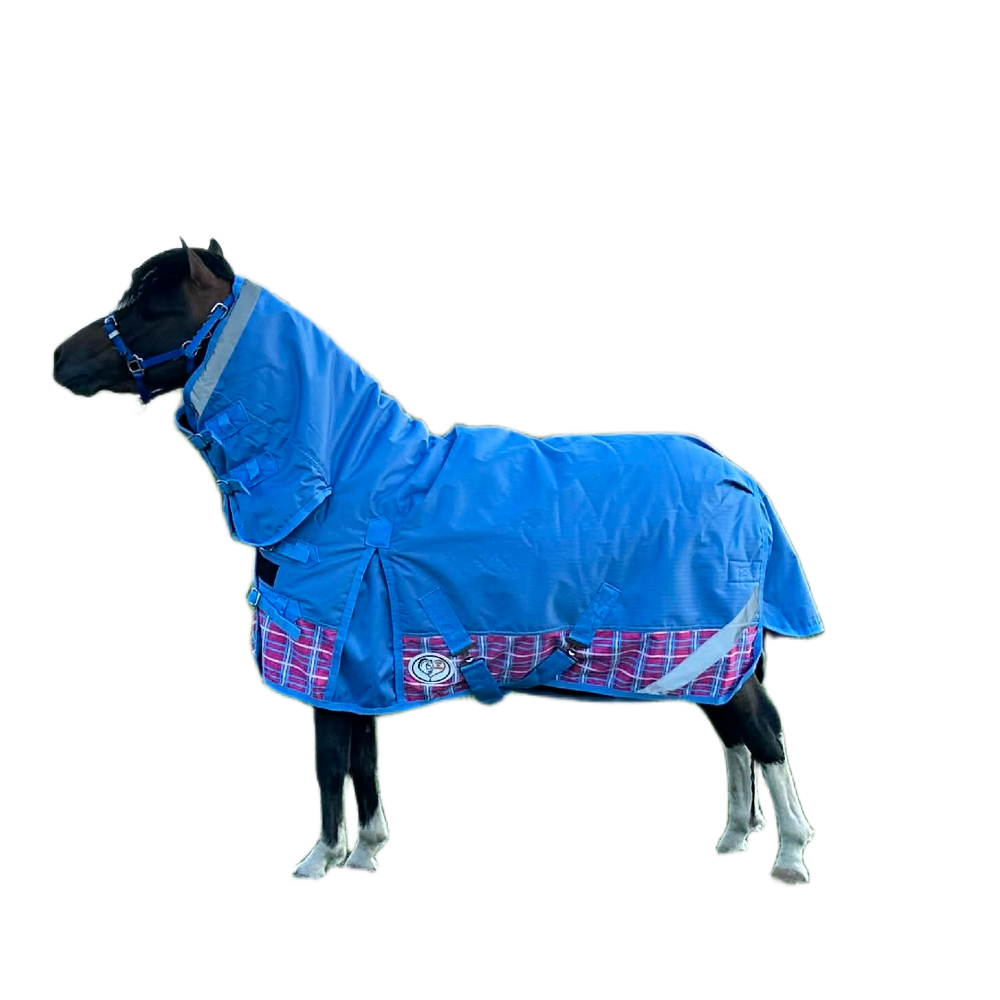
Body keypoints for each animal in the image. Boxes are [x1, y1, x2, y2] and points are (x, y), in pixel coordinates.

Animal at [51, 234, 820, 885]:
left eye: (147, 305)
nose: (59, 357)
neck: (348, 476)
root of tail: (738, 477)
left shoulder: (330, 656)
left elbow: (329, 764)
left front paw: (317, 861)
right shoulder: (357, 664)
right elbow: (363, 759)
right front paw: (364, 852)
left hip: (709, 643)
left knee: (765, 731)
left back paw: (788, 854)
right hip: (713, 657)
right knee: (734, 733)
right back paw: (734, 836)